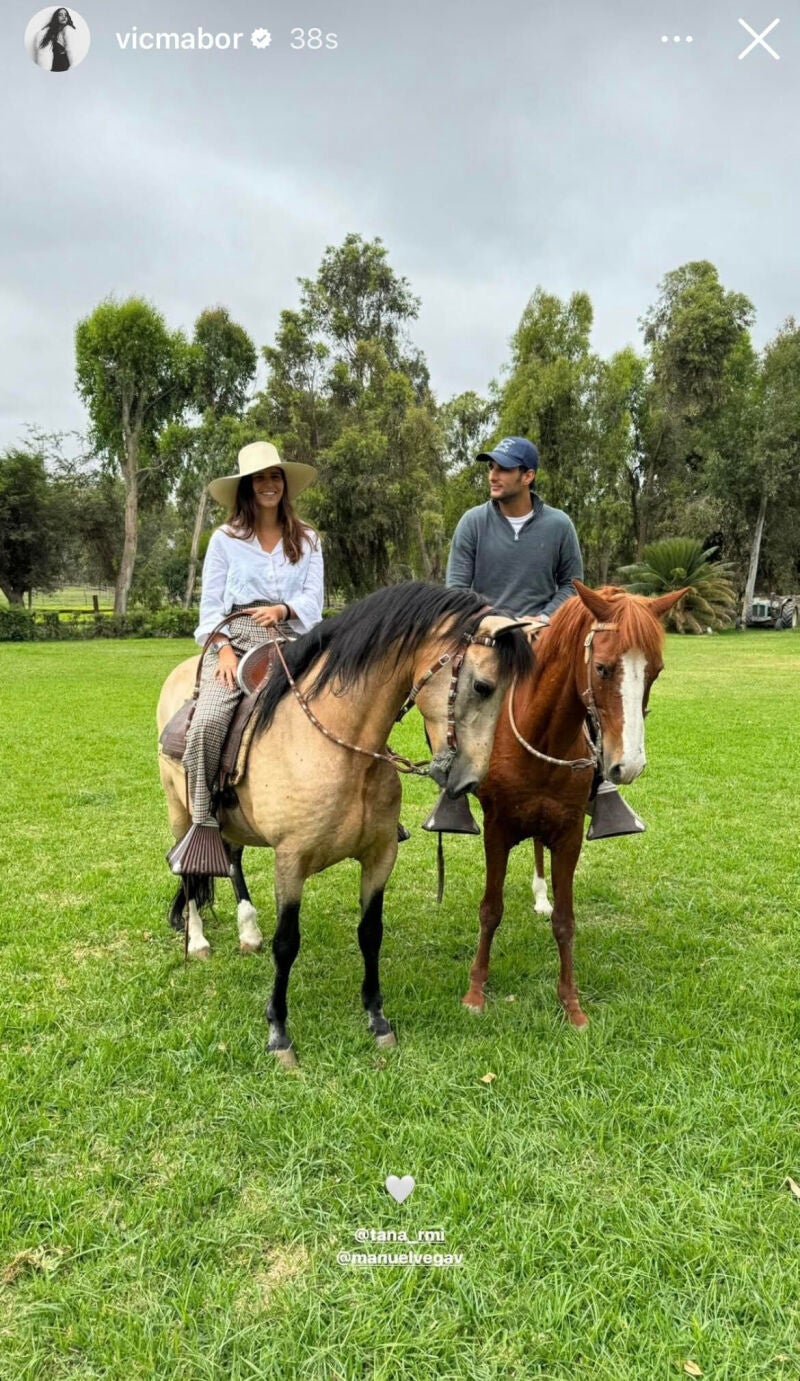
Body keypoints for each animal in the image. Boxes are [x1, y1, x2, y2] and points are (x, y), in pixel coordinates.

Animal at [156, 577, 533, 1060]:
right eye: (483, 686)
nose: (469, 779)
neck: (342, 747)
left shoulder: (380, 855)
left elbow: (370, 932)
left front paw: (377, 1018)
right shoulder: (290, 860)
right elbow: (287, 943)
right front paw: (279, 1032)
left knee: (232, 860)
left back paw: (247, 930)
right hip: (182, 809)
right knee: (187, 868)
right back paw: (199, 939)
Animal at [464, 580, 688, 1027]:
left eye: (655, 671)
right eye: (601, 668)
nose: (628, 765)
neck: (542, 734)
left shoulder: (568, 833)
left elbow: (566, 922)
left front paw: (571, 1003)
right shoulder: (496, 828)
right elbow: (490, 910)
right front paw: (476, 991)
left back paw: (540, 896)